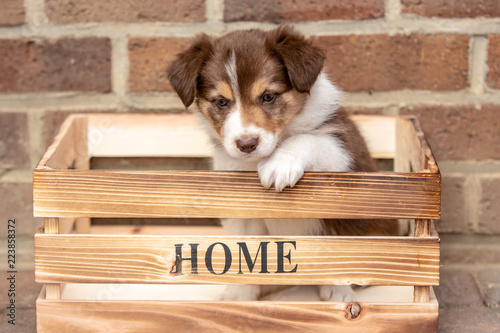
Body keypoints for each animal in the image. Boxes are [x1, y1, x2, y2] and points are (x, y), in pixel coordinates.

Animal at [168, 25, 398, 300]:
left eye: (268, 96)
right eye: (221, 102)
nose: (246, 144)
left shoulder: (344, 150)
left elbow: (308, 138)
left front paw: (279, 165)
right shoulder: (241, 209)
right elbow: (242, 252)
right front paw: (238, 294)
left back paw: (338, 289)